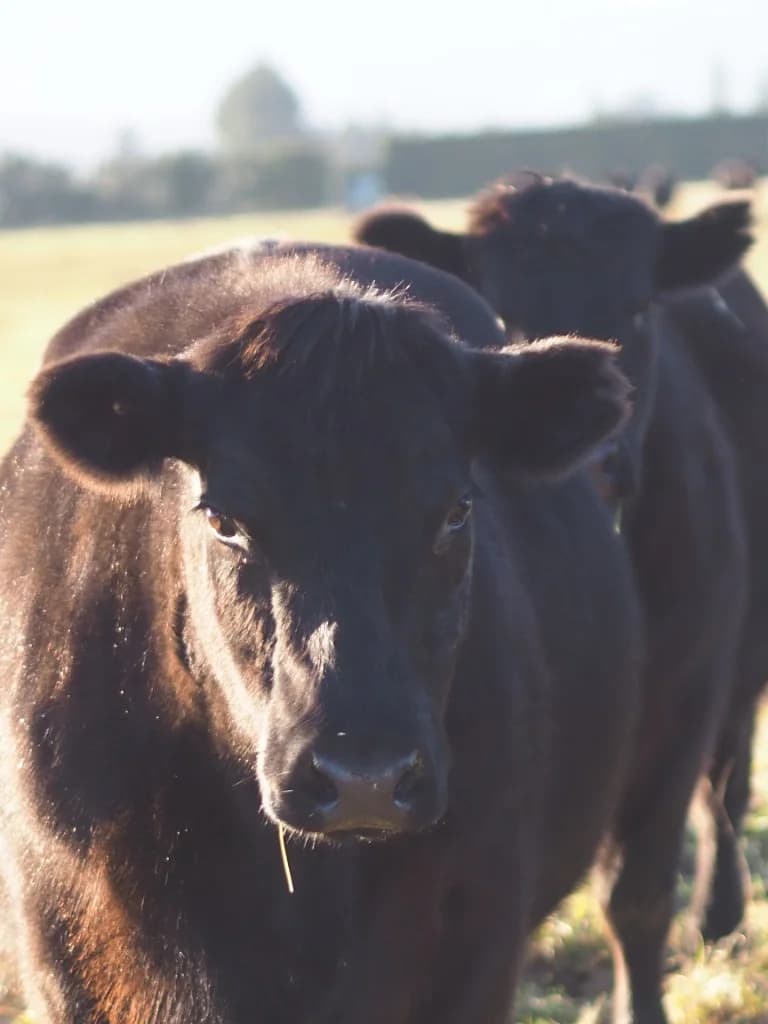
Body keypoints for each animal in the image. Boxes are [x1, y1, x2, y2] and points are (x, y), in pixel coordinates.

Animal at [354, 178, 750, 1023]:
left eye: (639, 307)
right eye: (500, 314)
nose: (598, 459)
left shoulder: (688, 693)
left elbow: (638, 892)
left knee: (728, 781)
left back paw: (720, 911)